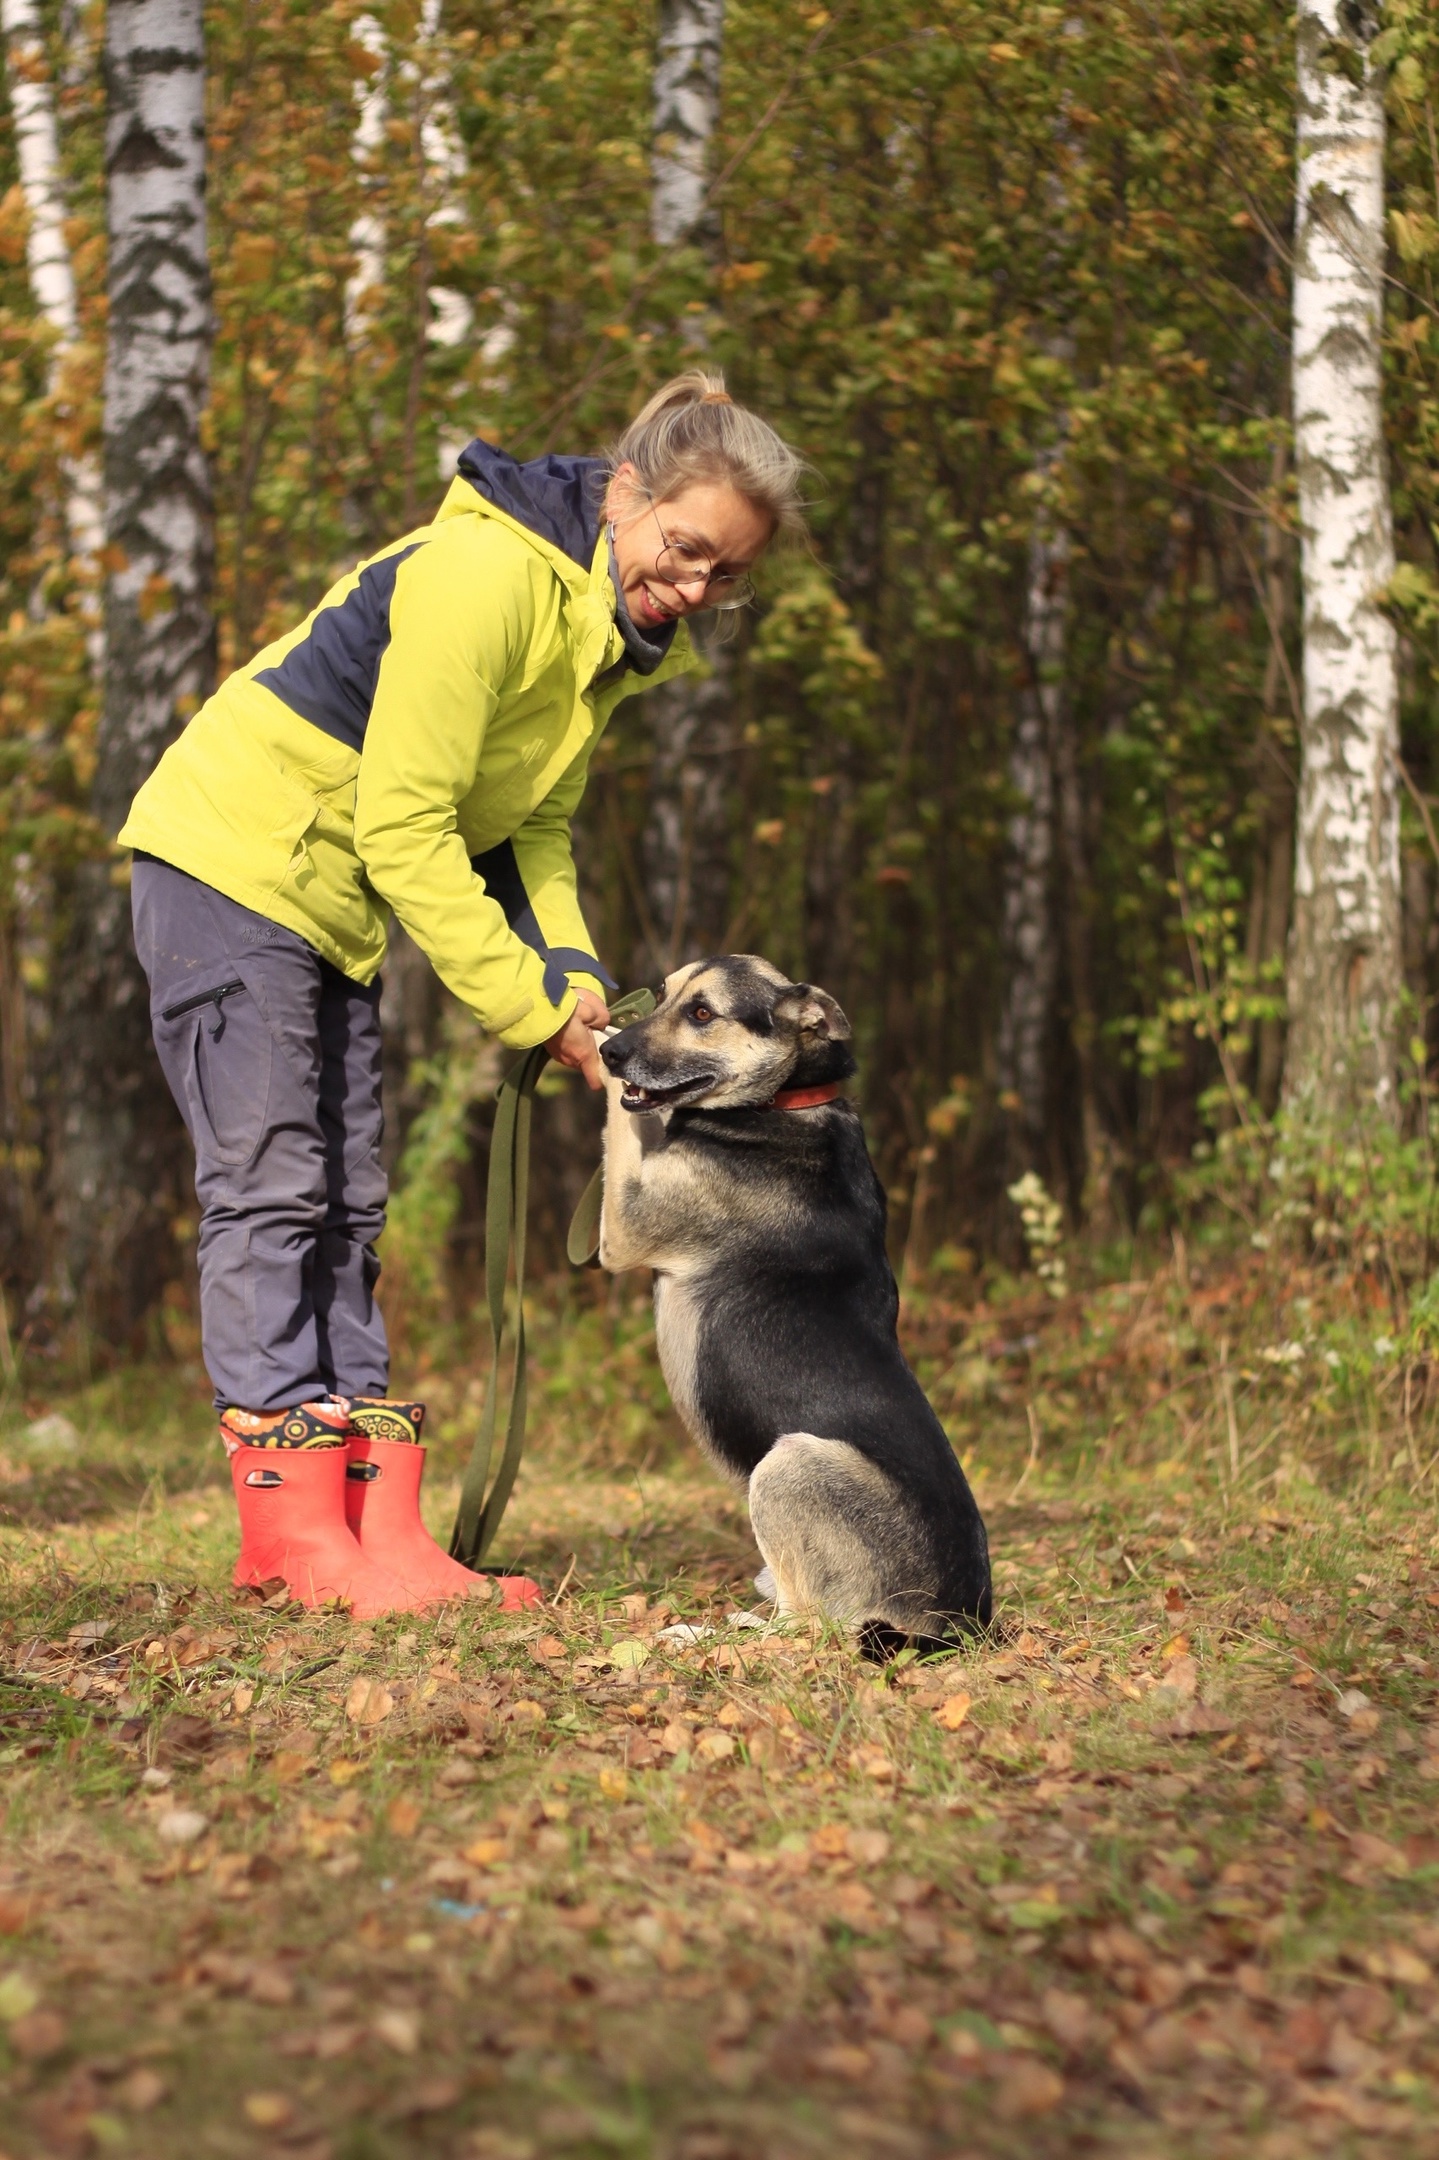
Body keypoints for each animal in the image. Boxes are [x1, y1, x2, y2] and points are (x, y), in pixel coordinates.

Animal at [597, 955, 992, 1655]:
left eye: (702, 1013)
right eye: (664, 994)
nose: (615, 1055)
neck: (785, 1098)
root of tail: (958, 1624)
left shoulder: (627, 1220)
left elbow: (623, 1124)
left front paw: (585, 1030)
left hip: (791, 1464)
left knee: (803, 1626)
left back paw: (701, 1635)